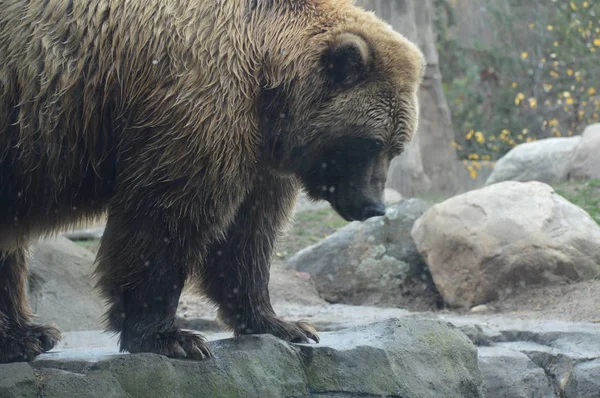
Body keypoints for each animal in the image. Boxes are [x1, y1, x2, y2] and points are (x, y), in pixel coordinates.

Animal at [0, 0, 426, 362]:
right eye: (370, 142)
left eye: (396, 146)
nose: (373, 206)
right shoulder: (196, 105)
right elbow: (165, 216)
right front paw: (172, 337)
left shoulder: (257, 156)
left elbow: (248, 235)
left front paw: (285, 324)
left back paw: (28, 334)